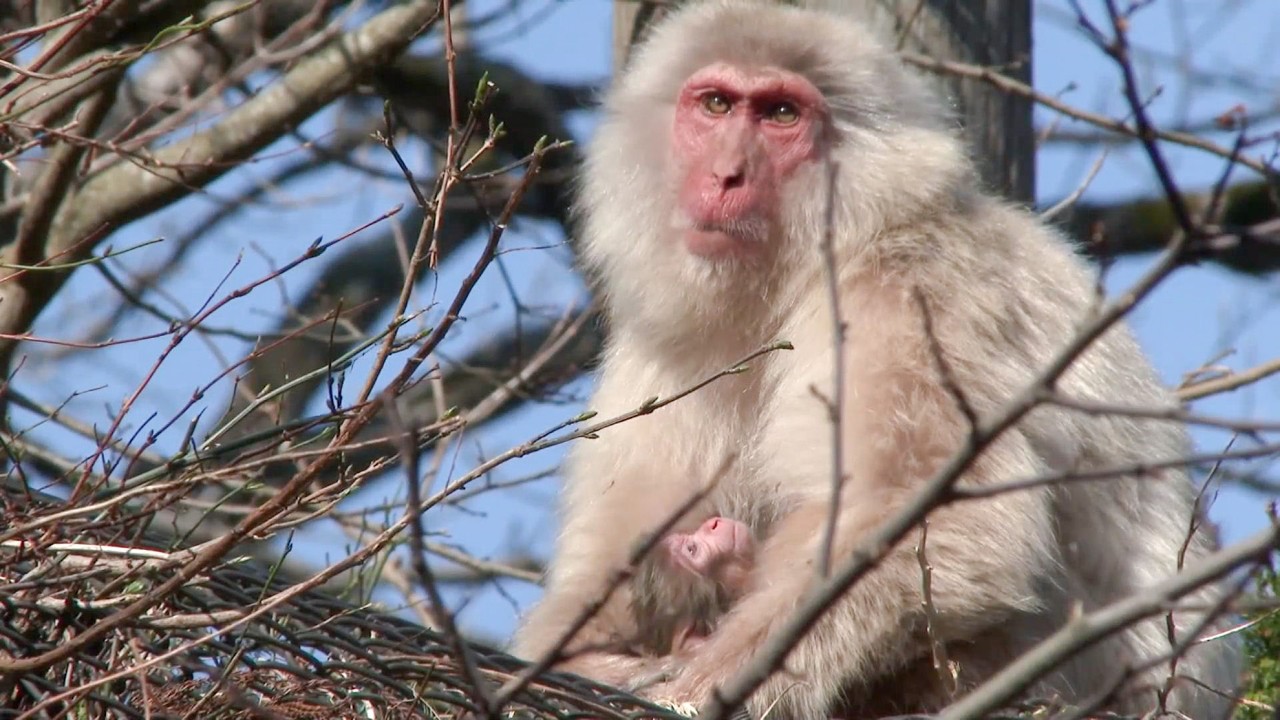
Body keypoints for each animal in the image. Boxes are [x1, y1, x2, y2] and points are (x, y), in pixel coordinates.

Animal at [512, 2, 1242, 718]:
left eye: (781, 114)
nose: (725, 175)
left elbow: (947, 518)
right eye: (716, 104)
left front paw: (699, 689)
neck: (794, 279)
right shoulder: (657, 348)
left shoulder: (911, 291)